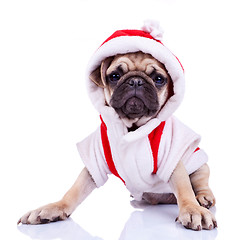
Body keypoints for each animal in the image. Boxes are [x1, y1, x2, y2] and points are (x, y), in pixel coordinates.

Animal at [17, 23, 217, 231]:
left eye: (159, 79)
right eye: (114, 76)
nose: (136, 81)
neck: (133, 127)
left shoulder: (172, 160)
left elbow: (184, 188)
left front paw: (192, 209)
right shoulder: (95, 161)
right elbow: (74, 190)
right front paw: (53, 208)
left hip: (200, 164)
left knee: (200, 183)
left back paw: (203, 198)